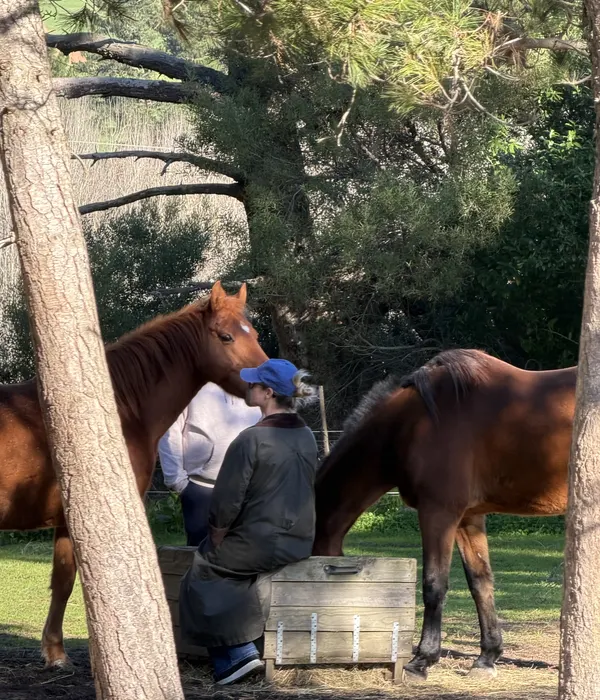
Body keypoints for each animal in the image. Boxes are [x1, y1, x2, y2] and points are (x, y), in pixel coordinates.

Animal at [0, 281, 268, 668]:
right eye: (226, 336)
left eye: (256, 333)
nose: (272, 383)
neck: (119, 411)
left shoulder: (67, 520)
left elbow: (63, 580)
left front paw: (54, 652)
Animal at [313, 349, 575, 680]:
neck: (412, 423)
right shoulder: (468, 518)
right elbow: (480, 582)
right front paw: (486, 659)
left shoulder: (438, 512)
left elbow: (433, 584)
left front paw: (422, 660)